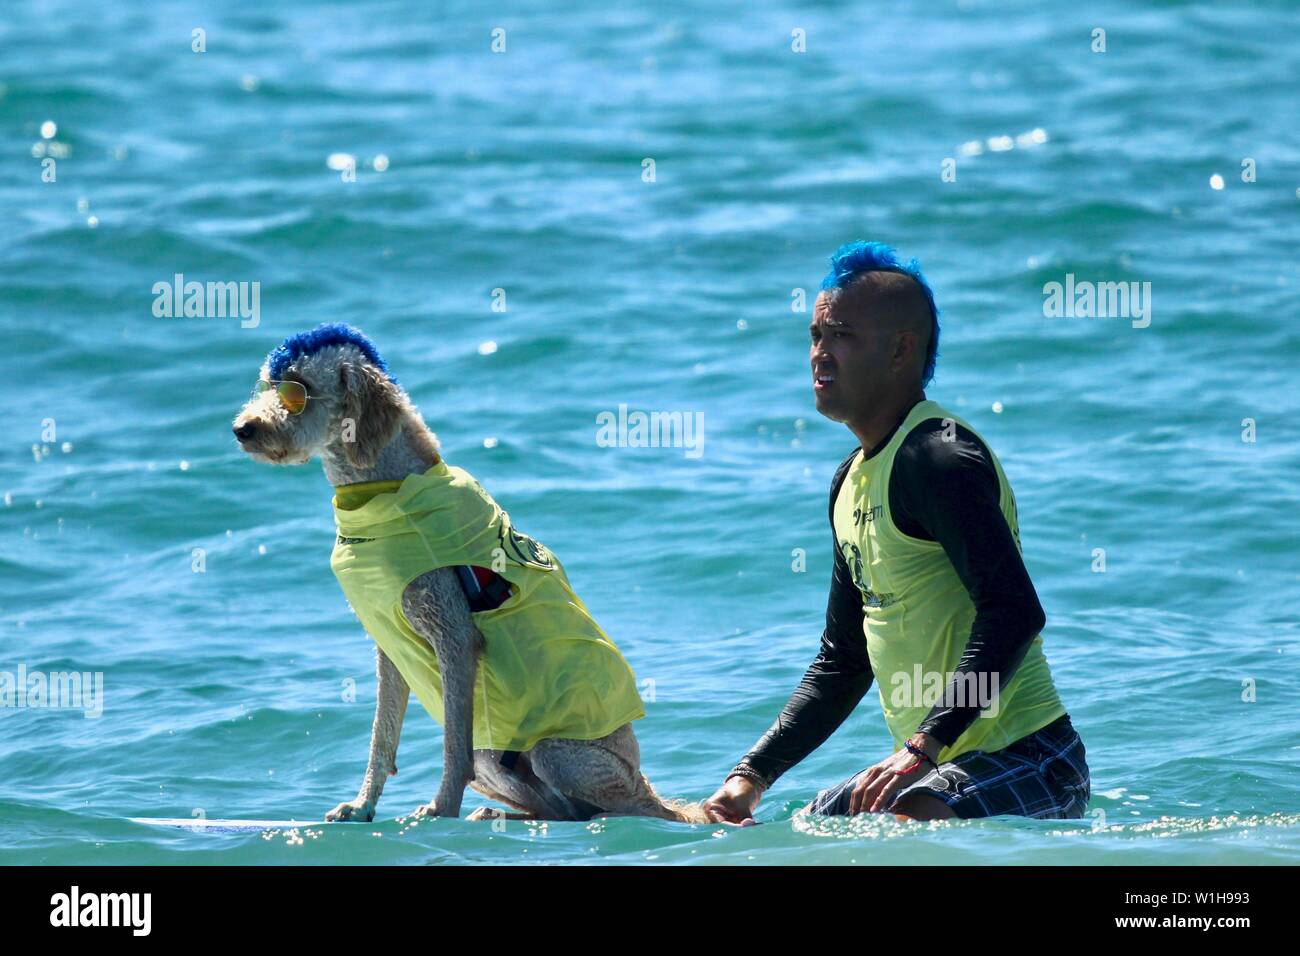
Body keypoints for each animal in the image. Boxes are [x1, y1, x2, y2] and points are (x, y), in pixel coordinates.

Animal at [228, 321, 707, 822]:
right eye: (267, 383)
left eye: (297, 389)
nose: (242, 429)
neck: (383, 492)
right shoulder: (390, 647)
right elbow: (382, 736)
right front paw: (361, 806)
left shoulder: (454, 635)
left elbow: (452, 744)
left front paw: (441, 807)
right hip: (498, 757)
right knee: (561, 809)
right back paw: (499, 814)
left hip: (558, 752)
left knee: (632, 811)